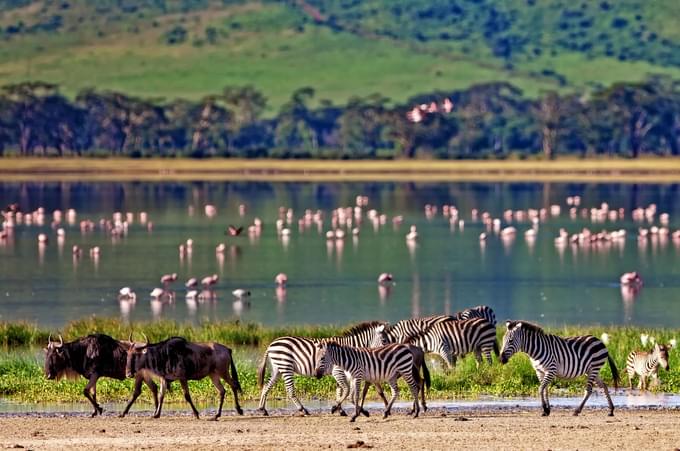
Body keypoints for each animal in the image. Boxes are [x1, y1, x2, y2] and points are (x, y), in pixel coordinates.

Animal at [258, 322, 388, 416]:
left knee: (266, 386)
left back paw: (263, 409)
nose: (387, 354)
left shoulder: (343, 373)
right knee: (290, 391)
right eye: (384, 340)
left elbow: (340, 391)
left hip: (278, 368)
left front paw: (340, 410)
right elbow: (346, 390)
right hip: (286, 366)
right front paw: (359, 410)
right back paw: (303, 410)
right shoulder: (338, 371)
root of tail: (271, 344)